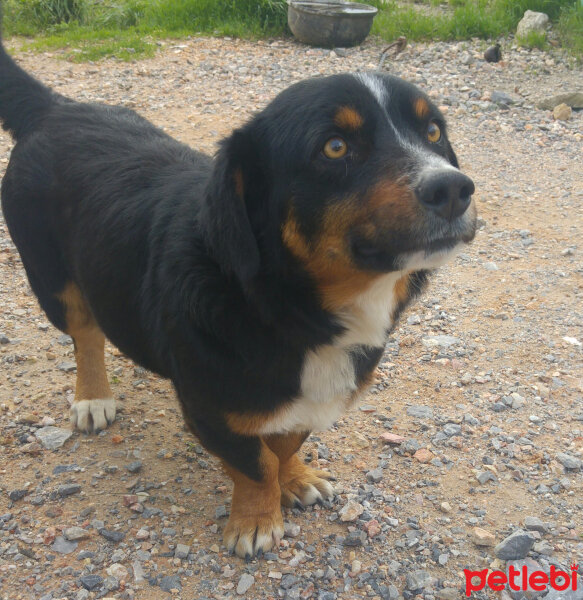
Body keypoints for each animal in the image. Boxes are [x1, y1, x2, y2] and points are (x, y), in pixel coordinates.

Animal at [0, 31, 474, 556]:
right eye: (334, 147)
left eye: (433, 132)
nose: (454, 189)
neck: (284, 306)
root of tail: (54, 109)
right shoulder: (211, 411)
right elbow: (255, 462)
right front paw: (255, 520)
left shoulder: (303, 402)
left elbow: (285, 442)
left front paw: (295, 478)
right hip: (52, 281)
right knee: (85, 334)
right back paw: (92, 398)